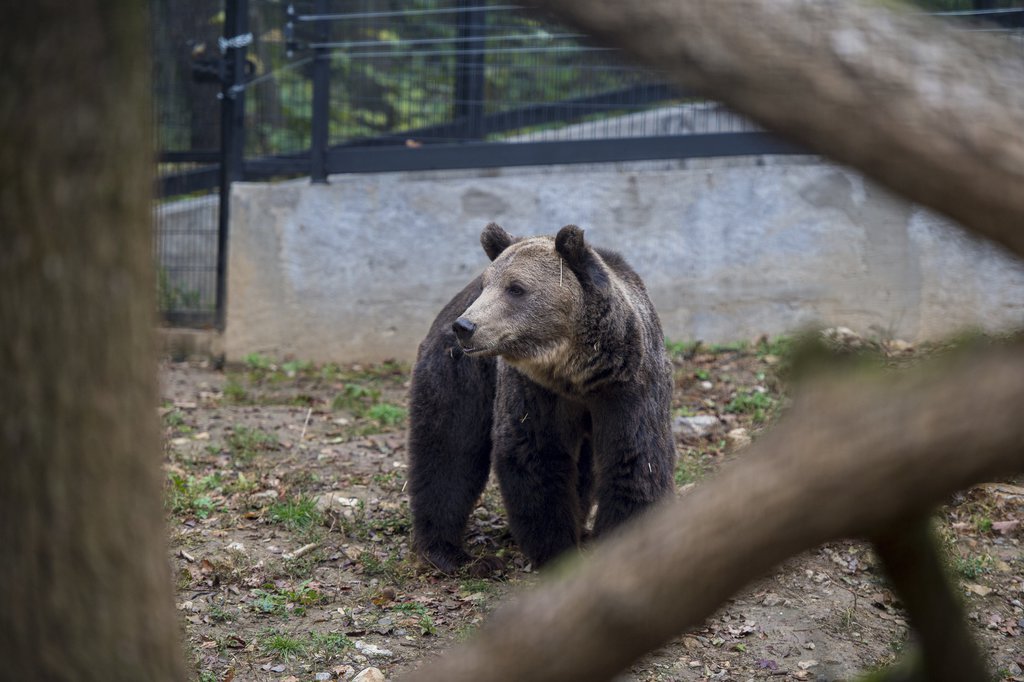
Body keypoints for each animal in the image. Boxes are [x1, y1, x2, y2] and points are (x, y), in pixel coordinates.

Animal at [403, 224, 675, 573]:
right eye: (487, 285)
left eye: (516, 287)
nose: (466, 326)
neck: (577, 374)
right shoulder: (534, 390)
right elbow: (535, 455)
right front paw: (558, 550)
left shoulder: (629, 387)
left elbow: (634, 459)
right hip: (461, 371)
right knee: (448, 447)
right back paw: (449, 551)